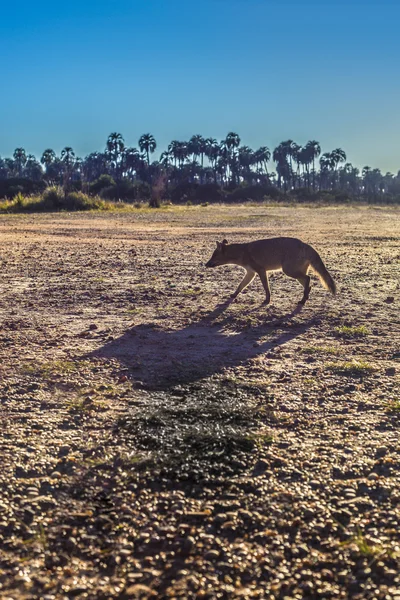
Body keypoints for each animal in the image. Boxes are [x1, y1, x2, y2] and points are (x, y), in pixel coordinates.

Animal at [205, 237, 336, 304]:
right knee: (308, 284)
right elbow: (240, 285)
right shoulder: (251, 273)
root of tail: (305, 244)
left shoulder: (261, 271)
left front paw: (267, 300)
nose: (205, 264)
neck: (243, 251)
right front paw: (233, 295)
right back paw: (306, 296)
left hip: (289, 271)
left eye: (213, 256)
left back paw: (303, 299)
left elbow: (266, 287)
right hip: (295, 273)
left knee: (308, 279)